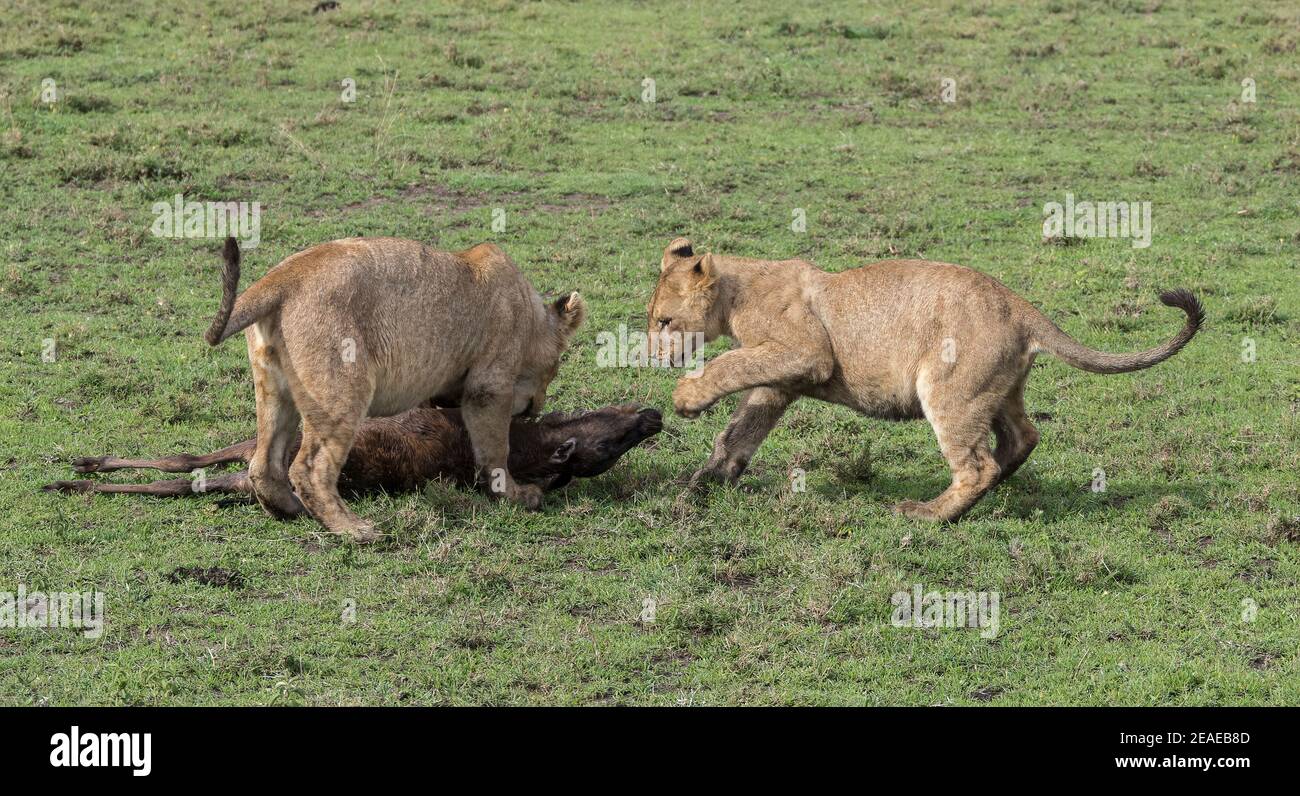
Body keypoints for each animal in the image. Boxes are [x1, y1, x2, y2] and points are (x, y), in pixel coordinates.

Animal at [204, 232, 590, 538]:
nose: (537, 406)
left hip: (274, 387)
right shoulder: (489, 386)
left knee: (264, 462)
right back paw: (355, 530)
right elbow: (496, 450)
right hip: (344, 388)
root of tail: (283, 278)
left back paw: (290, 510)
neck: (530, 316)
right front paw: (516, 495)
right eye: (556, 367)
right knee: (309, 468)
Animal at [644, 236, 1201, 522]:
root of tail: (1021, 307)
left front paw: (687, 398)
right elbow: (742, 428)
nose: (650, 354)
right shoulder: (781, 378)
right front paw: (706, 482)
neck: (736, 293)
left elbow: (726, 366)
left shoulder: (805, 353)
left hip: (949, 389)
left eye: (665, 322)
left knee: (976, 465)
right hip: (996, 390)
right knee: (1022, 437)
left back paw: (928, 513)